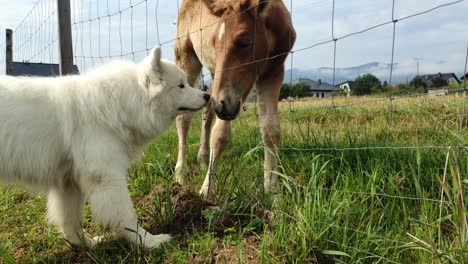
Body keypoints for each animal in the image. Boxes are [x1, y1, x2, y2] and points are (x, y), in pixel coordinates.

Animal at [0, 47, 210, 248]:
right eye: (181, 86)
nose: (207, 95)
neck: (121, 103)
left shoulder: (70, 183)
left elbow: (71, 221)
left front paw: (86, 245)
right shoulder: (107, 177)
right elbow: (126, 215)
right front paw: (148, 241)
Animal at [174, 0, 298, 202]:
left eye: (244, 42)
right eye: (214, 42)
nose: (221, 107)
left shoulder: (273, 72)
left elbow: (271, 130)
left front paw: (272, 191)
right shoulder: (231, 96)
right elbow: (220, 134)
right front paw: (207, 190)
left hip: (215, 74)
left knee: (207, 110)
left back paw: (203, 158)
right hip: (187, 58)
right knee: (184, 118)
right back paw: (180, 175)